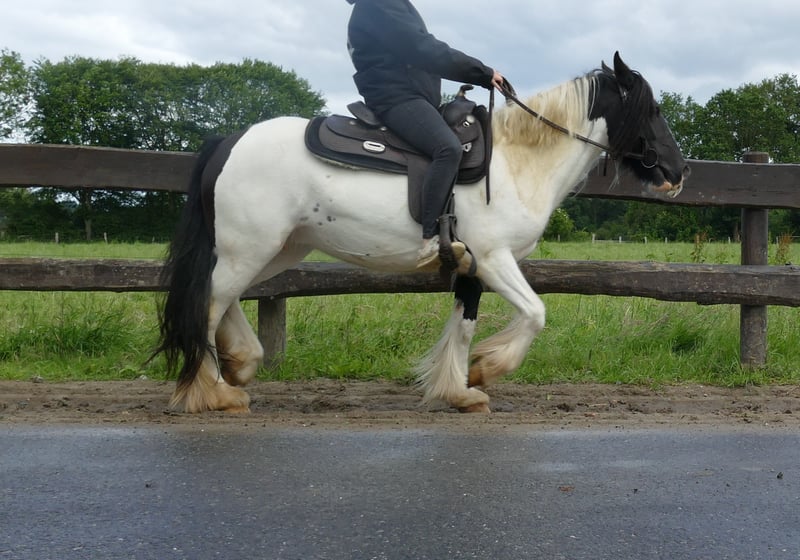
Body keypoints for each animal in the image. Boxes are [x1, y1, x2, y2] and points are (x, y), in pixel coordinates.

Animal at [154, 52, 690, 414]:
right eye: (653, 110)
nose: (678, 171)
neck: (517, 162)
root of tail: (230, 141)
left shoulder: (473, 266)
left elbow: (465, 323)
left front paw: (459, 390)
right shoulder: (494, 259)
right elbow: (536, 313)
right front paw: (487, 368)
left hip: (276, 250)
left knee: (223, 297)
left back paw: (240, 364)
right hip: (251, 248)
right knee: (209, 303)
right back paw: (213, 391)